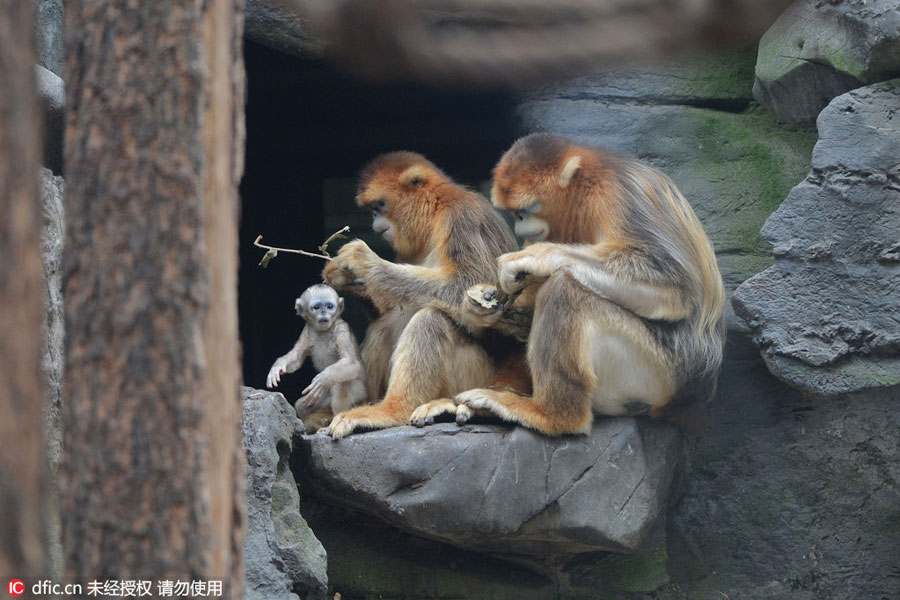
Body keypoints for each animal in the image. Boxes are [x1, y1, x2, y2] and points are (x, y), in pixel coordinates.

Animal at [266, 284, 368, 432]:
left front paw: (324, 377)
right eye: (317, 307)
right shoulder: (307, 330)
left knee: (339, 386)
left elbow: (352, 363)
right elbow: (296, 357)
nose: (324, 312)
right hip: (321, 399)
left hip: (358, 392)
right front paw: (277, 368)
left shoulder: (341, 329)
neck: (323, 331)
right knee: (300, 405)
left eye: (330, 306)